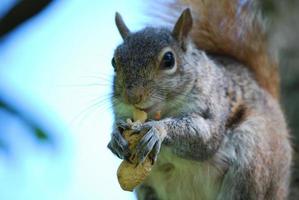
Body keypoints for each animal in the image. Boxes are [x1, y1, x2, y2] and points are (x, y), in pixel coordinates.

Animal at [107, 0, 292, 199]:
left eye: (169, 60)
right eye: (114, 61)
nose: (132, 96)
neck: (162, 110)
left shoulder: (213, 106)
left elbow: (205, 136)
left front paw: (158, 130)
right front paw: (115, 135)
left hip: (253, 161)